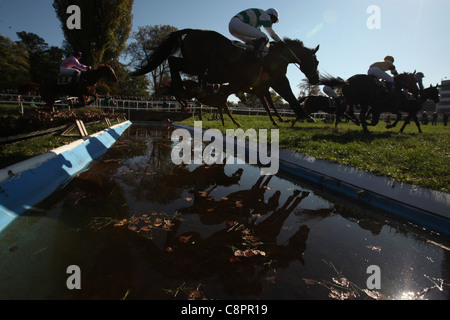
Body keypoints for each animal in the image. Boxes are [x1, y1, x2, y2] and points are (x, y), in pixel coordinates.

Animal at [132, 28, 322, 125]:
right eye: (317, 61)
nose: (315, 79)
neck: (278, 55)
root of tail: (192, 31)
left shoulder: (263, 85)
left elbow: (278, 101)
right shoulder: (277, 79)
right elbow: (289, 97)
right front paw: (306, 116)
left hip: (196, 65)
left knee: (174, 62)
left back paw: (180, 90)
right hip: (196, 64)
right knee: (172, 61)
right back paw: (179, 88)